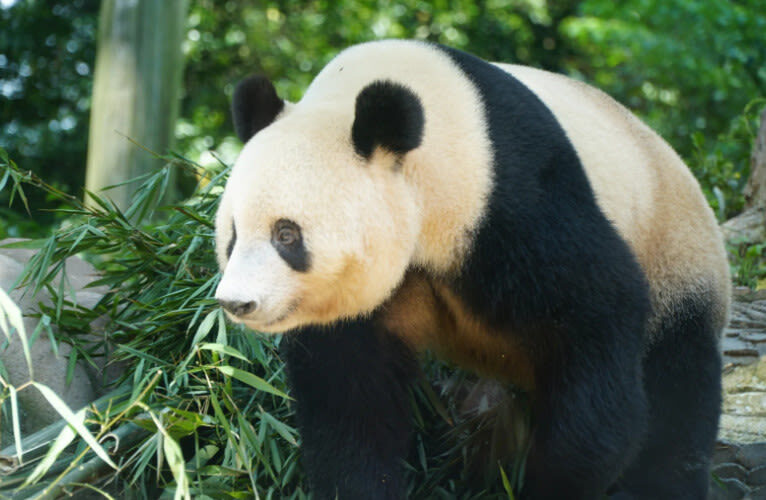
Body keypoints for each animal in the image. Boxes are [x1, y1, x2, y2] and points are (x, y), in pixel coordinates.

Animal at [214, 40, 730, 499]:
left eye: (286, 235)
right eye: (232, 235)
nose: (238, 302)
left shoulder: (512, 200)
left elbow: (597, 319)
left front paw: (555, 482)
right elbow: (351, 401)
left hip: (675, 254)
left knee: (677, 384)